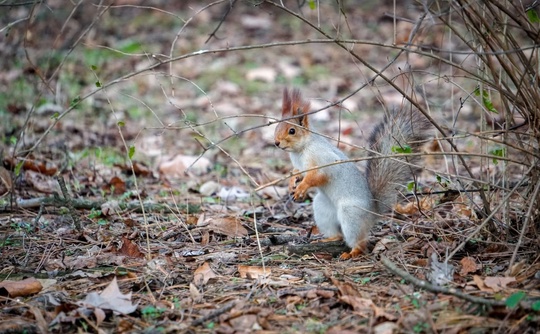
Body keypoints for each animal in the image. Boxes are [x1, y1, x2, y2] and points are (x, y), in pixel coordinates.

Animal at [274, 87, 430, 260]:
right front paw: (292, 183)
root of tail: (372, 211)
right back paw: (328, 239)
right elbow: (297, 172)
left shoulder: (325, 159)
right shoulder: (300, 166)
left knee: (360, 243)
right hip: (323, 209)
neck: (300, 150)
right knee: (337, 234)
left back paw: (352, 252)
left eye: (292, 131)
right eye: (276, 127)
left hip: (351, 215)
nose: (276, 142)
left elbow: (318, 176)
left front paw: (302, 187)